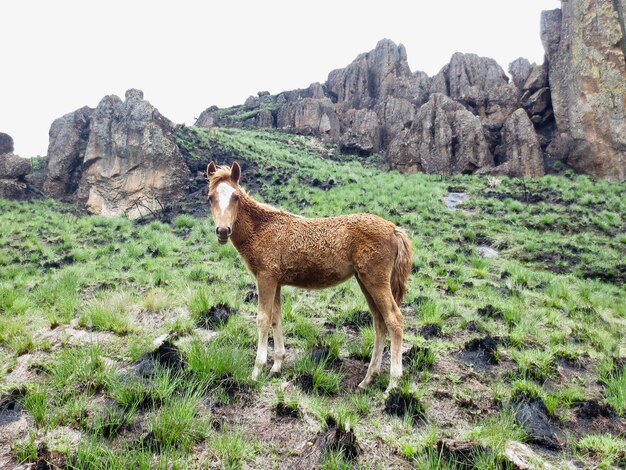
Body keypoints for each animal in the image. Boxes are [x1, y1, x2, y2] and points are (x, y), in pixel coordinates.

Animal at [205, 162, 410, 392]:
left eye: (236, 197)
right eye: (210, 197)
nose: (223, 231)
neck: (263, 229)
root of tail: (393, 229)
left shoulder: (265, 278)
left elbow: (263, 319)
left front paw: (257, 371)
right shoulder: (276, 282)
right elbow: (276, 318)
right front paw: (276, 366)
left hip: (376, 280)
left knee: (394, 319)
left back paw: (392, 385)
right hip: (364, 281)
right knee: (379, 322)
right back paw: (367, 379)